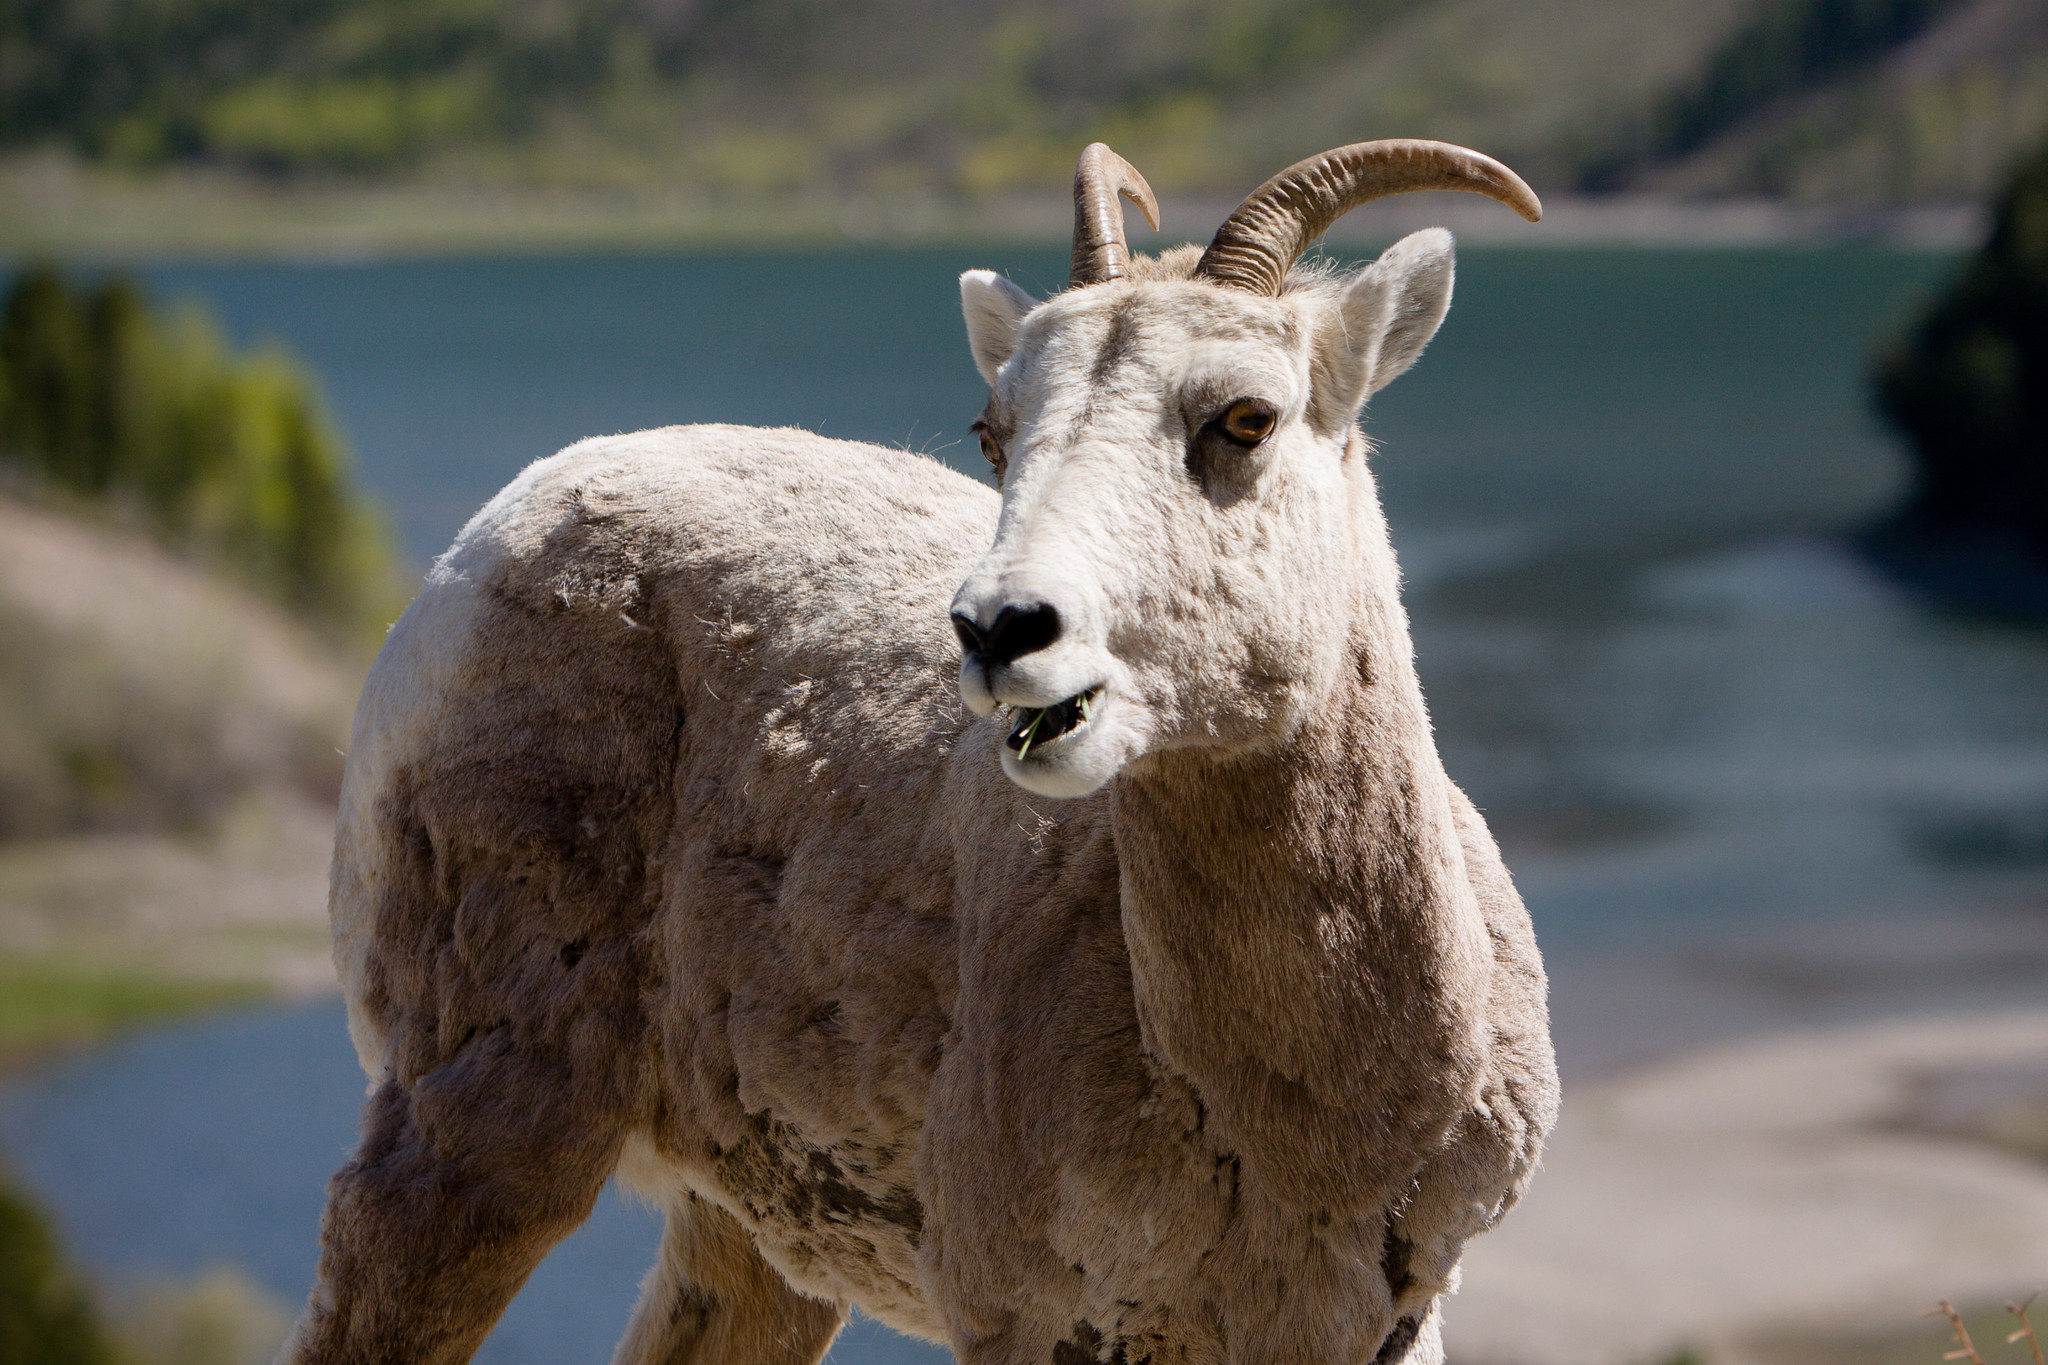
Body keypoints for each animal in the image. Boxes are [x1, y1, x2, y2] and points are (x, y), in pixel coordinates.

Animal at [284, 136, 1548, 1365]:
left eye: (1245, 417)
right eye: (994, 432)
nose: (999, 630)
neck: (1304, 1129)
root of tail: (475, 548)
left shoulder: (1385, 1324)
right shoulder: (1028, 1316)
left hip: (753, 1244)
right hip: (479, 1134)